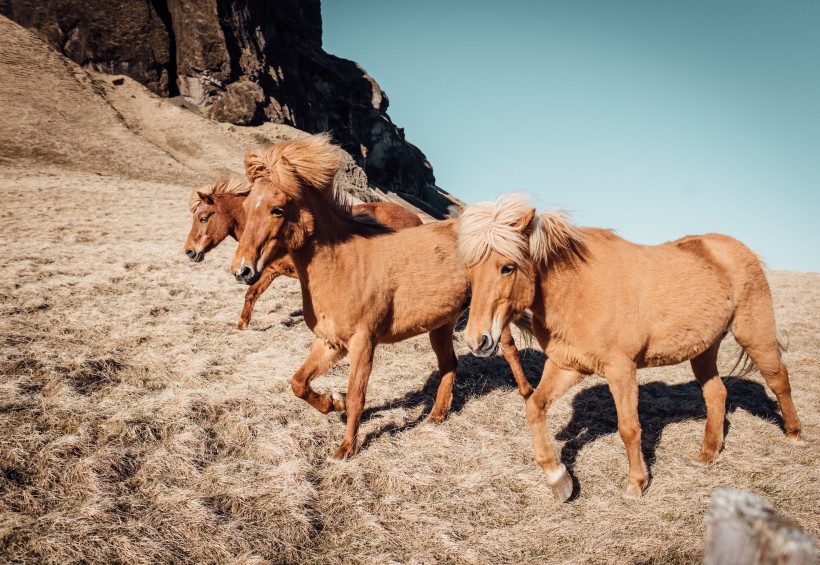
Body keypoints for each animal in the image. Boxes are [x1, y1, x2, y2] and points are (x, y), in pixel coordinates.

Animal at [180, 178, 422, 328]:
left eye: (203, 218)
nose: (189, 252)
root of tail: (416, 219)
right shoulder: (269, 271)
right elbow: (252, 294)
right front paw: (241, 326)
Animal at [227, 134, 532, 460]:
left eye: (277, 209)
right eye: (246, 205)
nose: (242, 270)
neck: (342, 265)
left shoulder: (363, 343)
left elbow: (356, 397)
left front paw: (346, 449)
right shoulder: (329, 342)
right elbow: (299, 383)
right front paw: (331, 402)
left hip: (487, 316)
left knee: (509, 349)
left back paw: (527, 393)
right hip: (441, 325)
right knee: (449, 364)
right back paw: (436, 416)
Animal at [458, 193, 804, 498]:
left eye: (507, 267)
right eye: (470, 269)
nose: (478, 340)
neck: (578, 288)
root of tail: (740, 249)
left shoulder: (621, 369)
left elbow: (629, 427)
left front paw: (637, 483)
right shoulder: (567, 365)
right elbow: (534, 407)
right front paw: (559, 479)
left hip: (754, 333)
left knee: (779, 379)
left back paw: (795, 436)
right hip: (704, 349)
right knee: (716, 393)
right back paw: (707, 454)